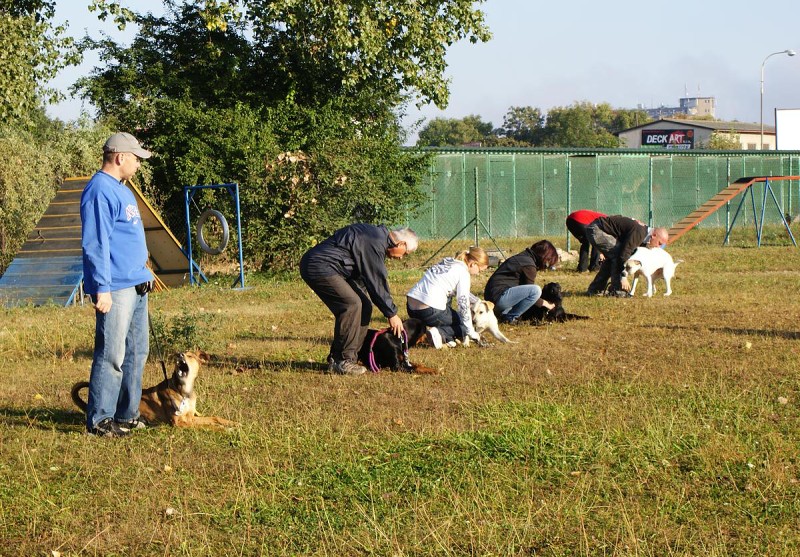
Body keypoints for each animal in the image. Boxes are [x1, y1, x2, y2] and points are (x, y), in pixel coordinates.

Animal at [71, 352, 238, 430]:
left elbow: (215, 418)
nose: (179, 354)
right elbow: (208, 426)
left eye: (190, 355)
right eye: (182, 354)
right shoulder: (179, 422)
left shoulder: (190, 417)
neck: (184, 391)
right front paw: (224, 429)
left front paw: (232, 423)